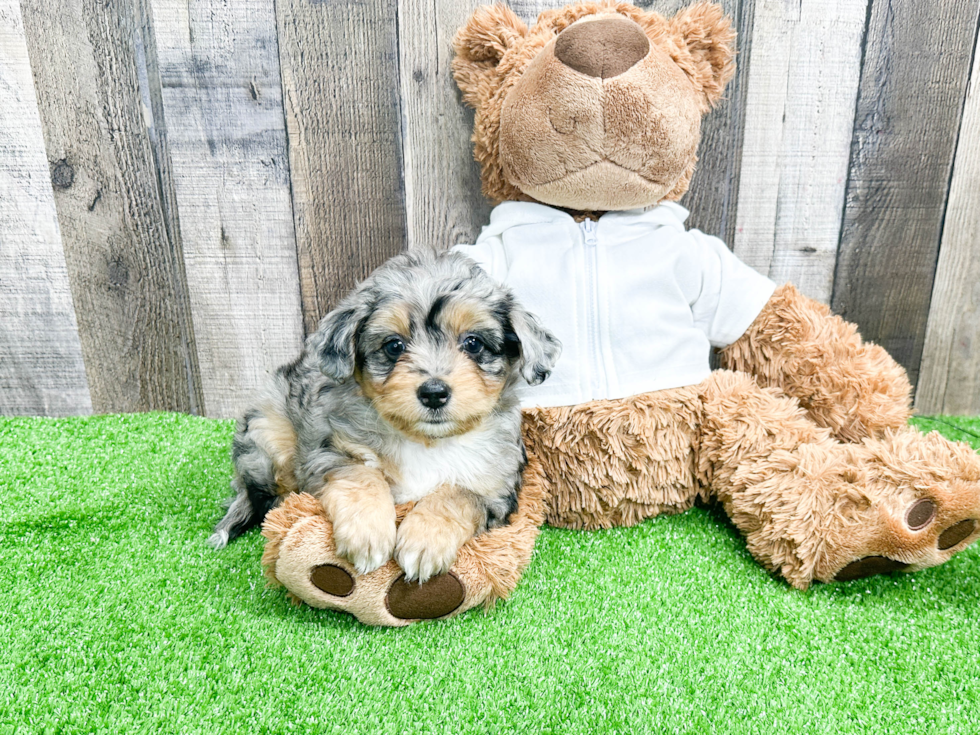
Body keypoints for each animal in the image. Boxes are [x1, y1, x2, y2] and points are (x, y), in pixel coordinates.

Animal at [209, 250, 560, 584]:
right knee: (255, 495)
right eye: (394, 346)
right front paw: (367, 533)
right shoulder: (327, 452)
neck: (427, 441)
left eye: (473, 343)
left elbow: (457, 494)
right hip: (268, 435)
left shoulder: (497, 487)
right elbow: (361, 476)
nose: (434, 392)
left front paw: (425, 540)